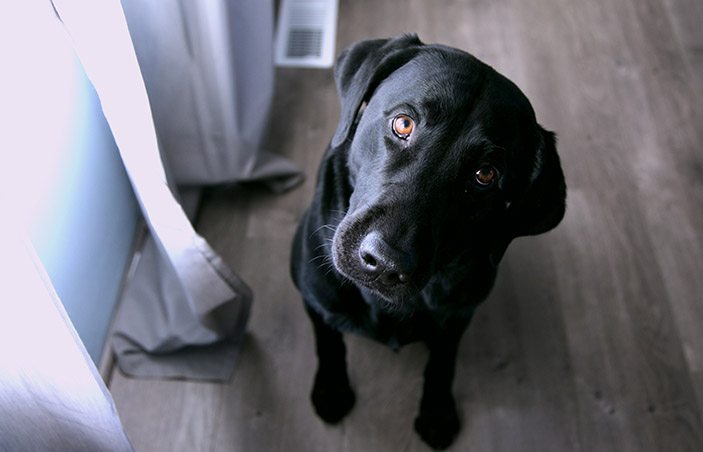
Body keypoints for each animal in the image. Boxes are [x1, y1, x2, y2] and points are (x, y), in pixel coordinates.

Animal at [288, 34, 568, 448]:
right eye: (403, 123)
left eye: (485, 174)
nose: (384, 262)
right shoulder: (313, 293)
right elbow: (328, 339)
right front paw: (332, 389)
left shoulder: (459, 315)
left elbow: (442, 361)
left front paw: (437, 412)